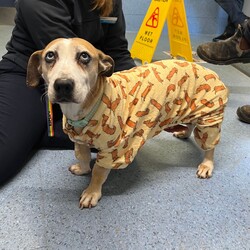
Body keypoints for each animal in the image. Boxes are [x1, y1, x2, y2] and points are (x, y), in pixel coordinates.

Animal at [25, 37, 229, 209]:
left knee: (210, 146)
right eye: (50, 55)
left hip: (209, 118)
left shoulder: (114, 150)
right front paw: (82, 169)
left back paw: (206, 165)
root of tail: (210, 71)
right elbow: (82, 157)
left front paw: (92, 192)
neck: (91, 104)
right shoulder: (79, 141)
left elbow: (98, 172)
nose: (63, 84)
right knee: (191, 124)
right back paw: (184, 132)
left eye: (84, 56)